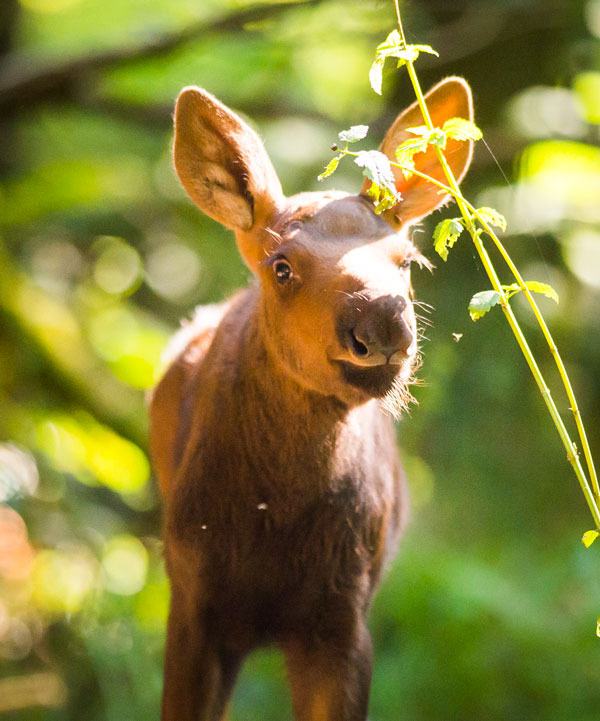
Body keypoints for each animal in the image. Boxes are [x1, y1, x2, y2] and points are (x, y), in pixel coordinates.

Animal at [149, 76, 474, 721]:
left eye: (408, 262)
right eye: (282, 266)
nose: (382, 322)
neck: (273, 522)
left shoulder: (341, 619)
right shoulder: (191, 598)